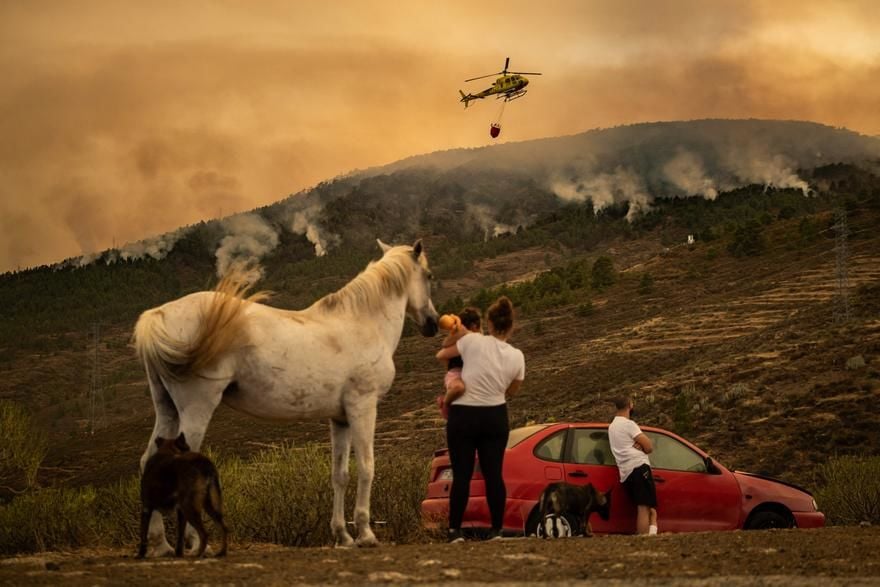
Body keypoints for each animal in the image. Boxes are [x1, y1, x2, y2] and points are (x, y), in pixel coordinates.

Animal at [133, 239, 440, 556]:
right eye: (429, 275)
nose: (433, 323)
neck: (361, 323)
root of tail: (157, 316)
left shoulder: (340, 419)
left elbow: (339, 475)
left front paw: (342, 536)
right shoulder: (362, 408)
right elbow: (367, 467)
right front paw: (365, 534)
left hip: (168, 410)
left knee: (150, 461)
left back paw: (161, 545)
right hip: (196, 409)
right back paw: (195, 544)